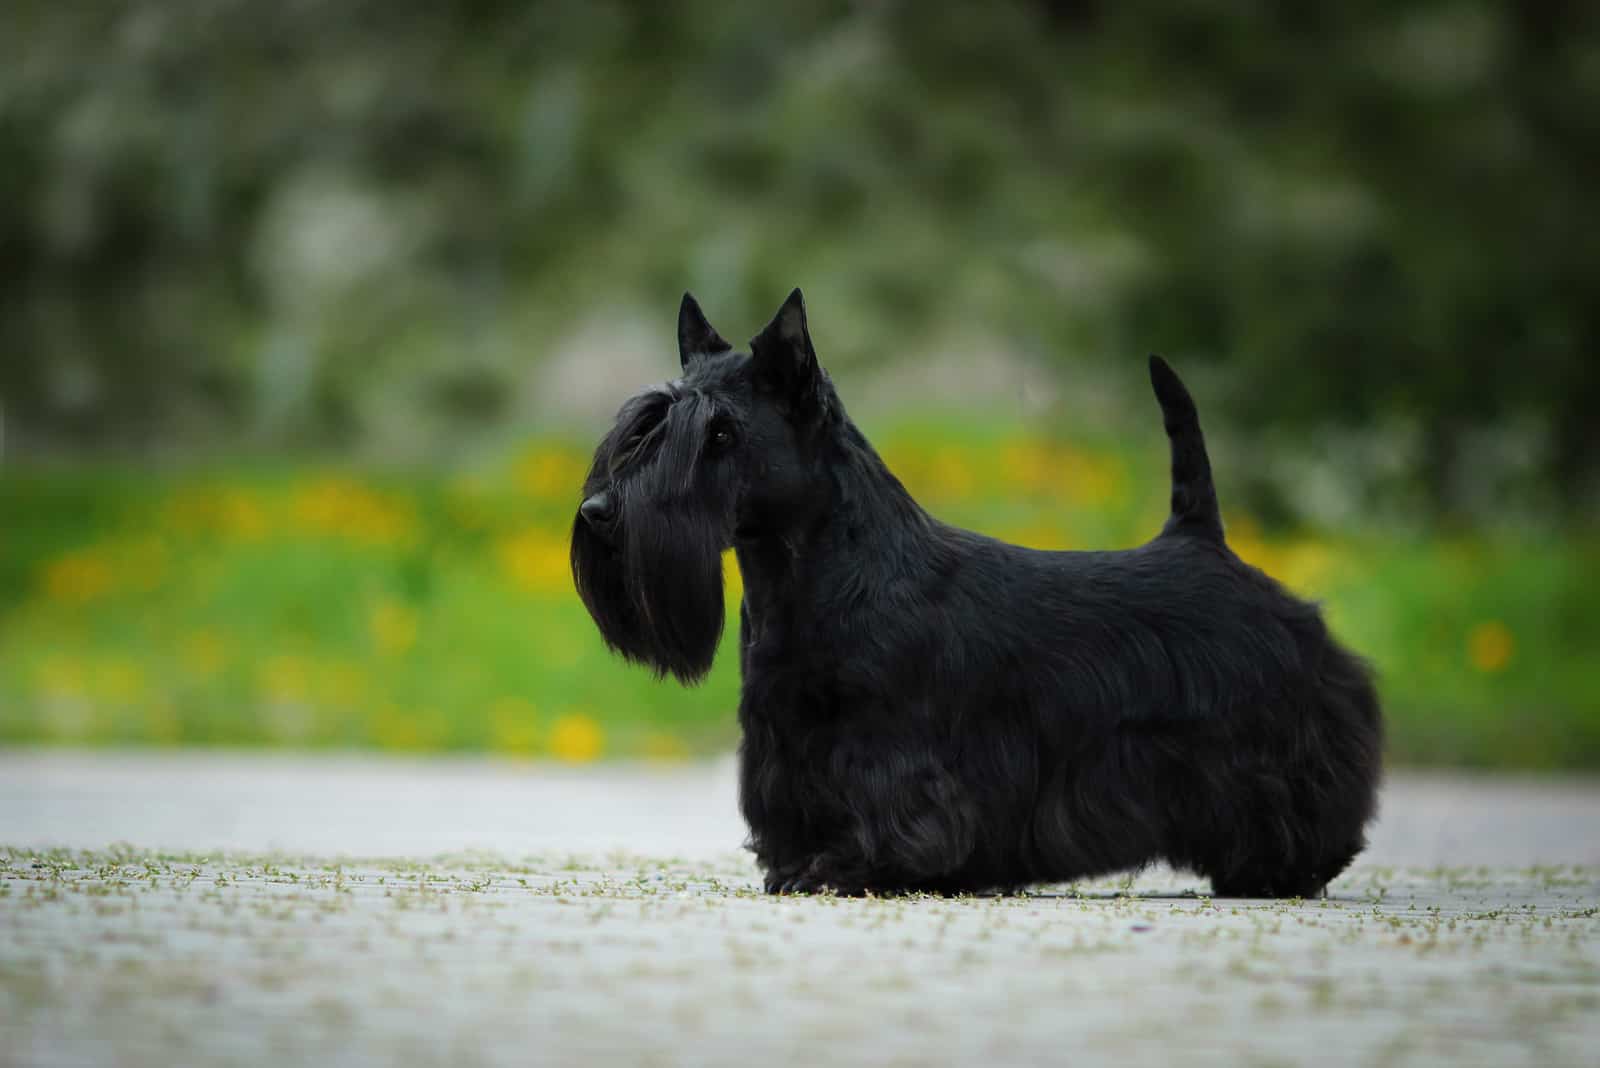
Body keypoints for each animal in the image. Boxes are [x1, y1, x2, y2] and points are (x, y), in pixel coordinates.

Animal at [569, 287, 1382, 895]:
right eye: (642, 427)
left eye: (721, 434)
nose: (599, 513)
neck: (804, 573)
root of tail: (1201, 540)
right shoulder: (785, 736)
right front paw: (798, 863)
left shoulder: (891, 741)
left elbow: (891, 810)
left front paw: (850, 867)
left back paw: (1282, 867)